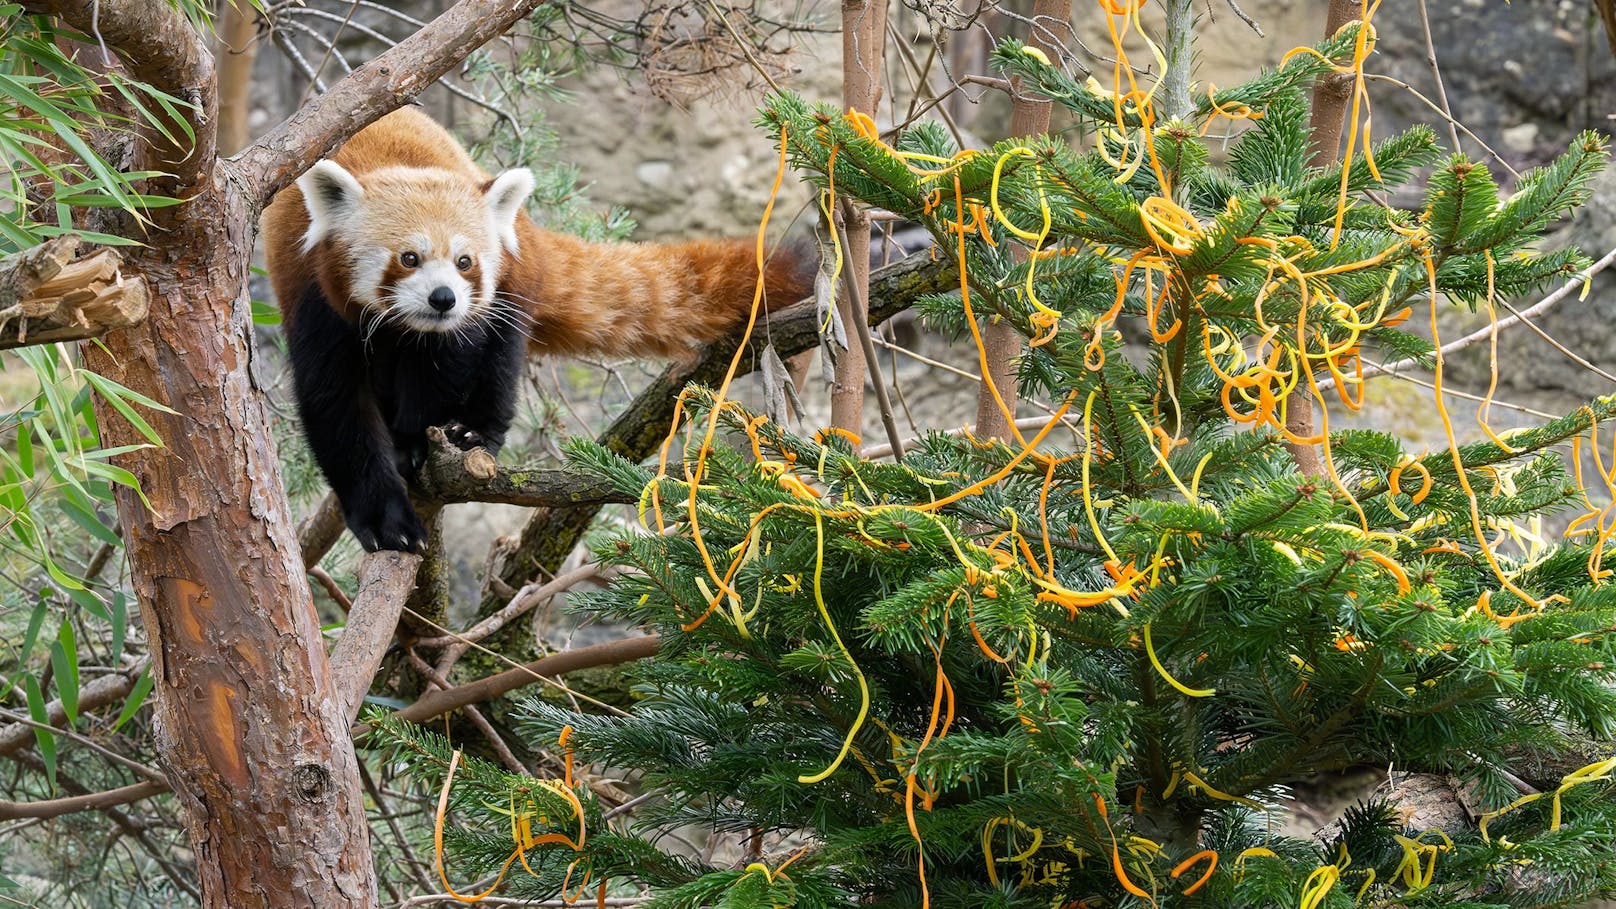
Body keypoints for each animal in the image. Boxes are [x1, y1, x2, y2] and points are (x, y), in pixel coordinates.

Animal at [268, 102, 820, 549]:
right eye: (409, 257)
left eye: (465, 262)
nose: (444, 299)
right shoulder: (316, 300)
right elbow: (338, 408)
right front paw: (387, 520)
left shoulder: (464, 323)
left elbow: (444, 369)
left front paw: (417, 440)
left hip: (514, 287)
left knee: (500, 364)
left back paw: (475, 433)